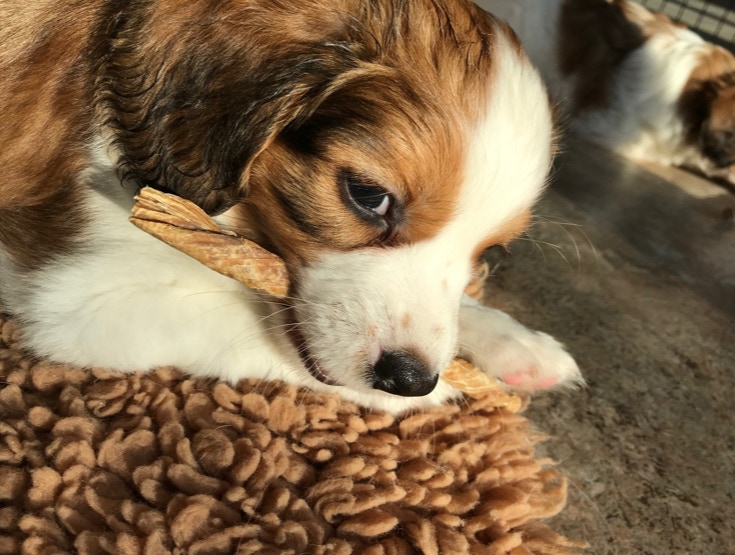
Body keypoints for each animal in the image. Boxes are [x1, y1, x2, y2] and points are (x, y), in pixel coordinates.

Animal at [0, 0, 581, 414]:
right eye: (367, 196)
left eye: (491, 252)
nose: (410, 380)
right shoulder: (81, 302)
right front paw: (439, 395)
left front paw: (515, 343)